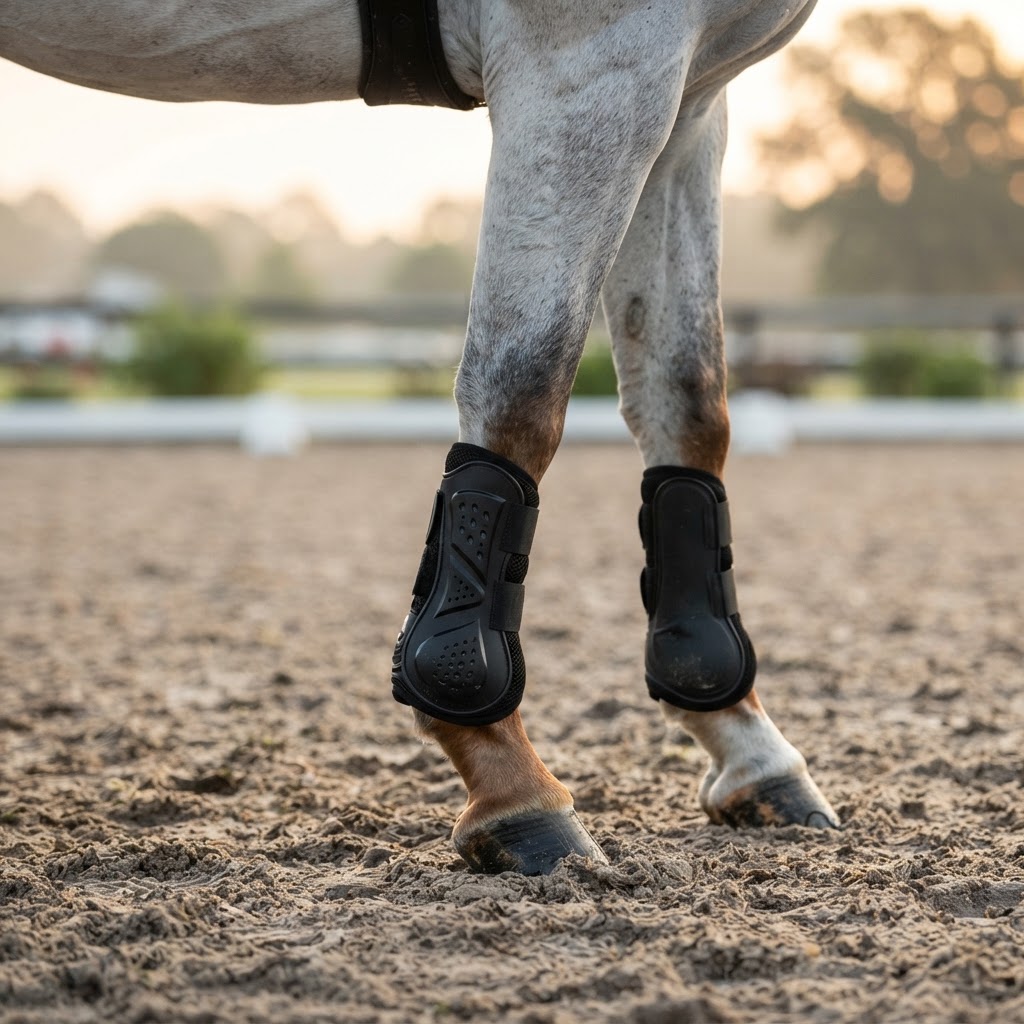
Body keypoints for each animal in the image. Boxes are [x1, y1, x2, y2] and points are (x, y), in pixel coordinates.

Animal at [1, 0, 838, 875]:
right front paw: (508, 779)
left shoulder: (690, 101)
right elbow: (521, 393)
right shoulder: (587, 68)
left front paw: (748, 745)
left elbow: (688, 401)